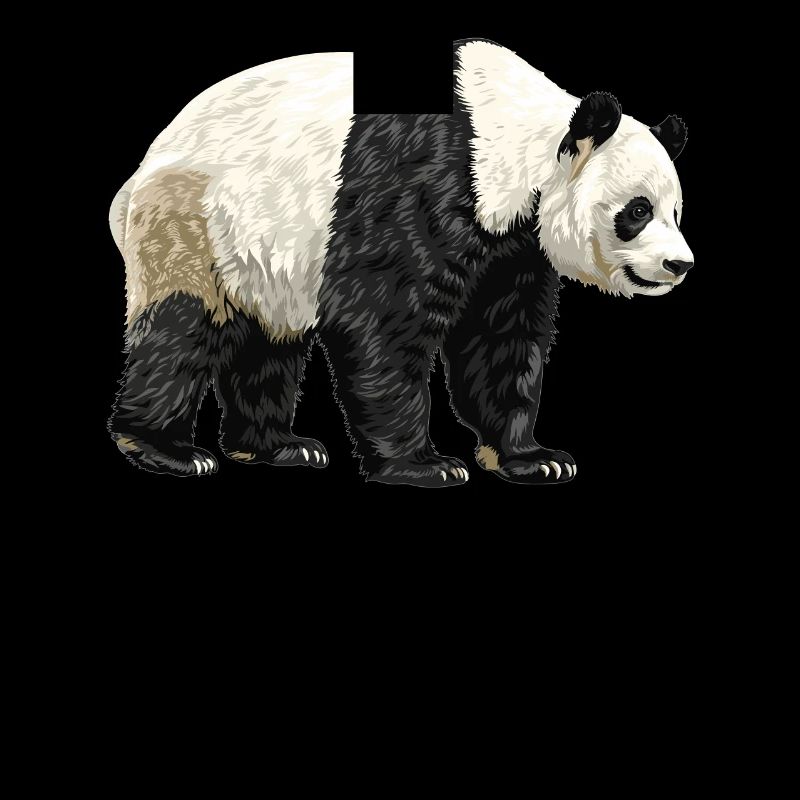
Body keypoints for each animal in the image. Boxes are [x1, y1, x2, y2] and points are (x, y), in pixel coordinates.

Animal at [109, 38, 693, 486]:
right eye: (637, 210)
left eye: (676, 211)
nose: (678, 264)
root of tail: (135, 177)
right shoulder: (420, 183)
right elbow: (382, 319)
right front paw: (425, 466)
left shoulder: (513, 245)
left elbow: (502, 334)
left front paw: (532, 459)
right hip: (194, 219)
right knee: (182, 327)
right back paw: (167, 450)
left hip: (262, 247)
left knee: (267, 340)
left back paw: (279, 446)